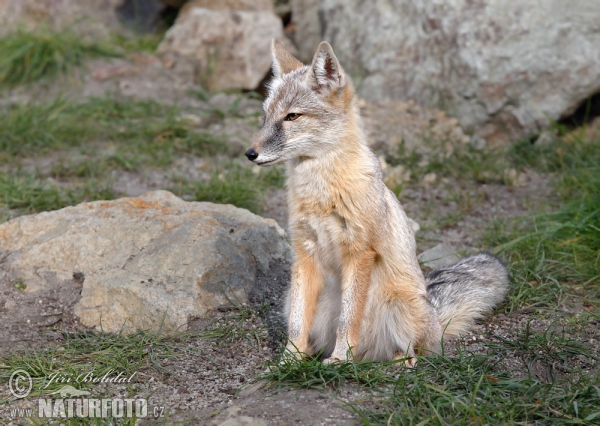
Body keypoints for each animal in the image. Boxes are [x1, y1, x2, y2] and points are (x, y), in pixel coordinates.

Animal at [244, 40, 506, 364]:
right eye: (265, 117)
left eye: (292, 117)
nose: (250, 153)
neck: (323, 194)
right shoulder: (304, 253)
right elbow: (297, 323)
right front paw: (288, 361)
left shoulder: (359, 252)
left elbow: (348, 319)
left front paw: (339, 360)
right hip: (293, 294)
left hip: (398, 308)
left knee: (414, 351)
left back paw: (389, 362)